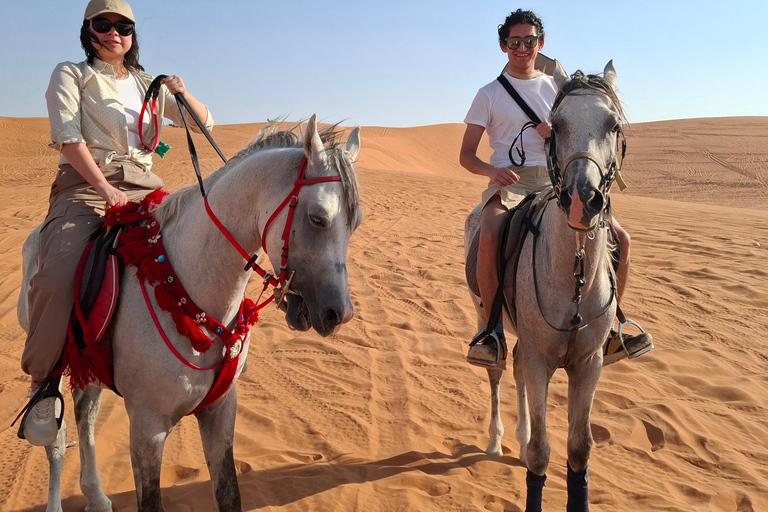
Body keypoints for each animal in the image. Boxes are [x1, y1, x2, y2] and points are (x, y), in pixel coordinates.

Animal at [18, 116, 364, 512]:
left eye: (355, 224)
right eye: (318, 218)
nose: (339, 313)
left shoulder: (220, 410)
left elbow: (229, 493)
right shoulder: (147, 428)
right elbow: (150, 501)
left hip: (88, 357)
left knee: (84, 411)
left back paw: (96, 494)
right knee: (55, 435)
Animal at [464, 64, 628, 512]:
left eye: (613, 125)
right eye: (557, 126)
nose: (582, 199)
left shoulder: (588, 363)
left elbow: (579, 448)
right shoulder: (542, 360)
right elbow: (541, 452)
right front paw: (526, 450)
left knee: (517, 365)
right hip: (485, 315)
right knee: (499, 369)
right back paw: (496, 441)